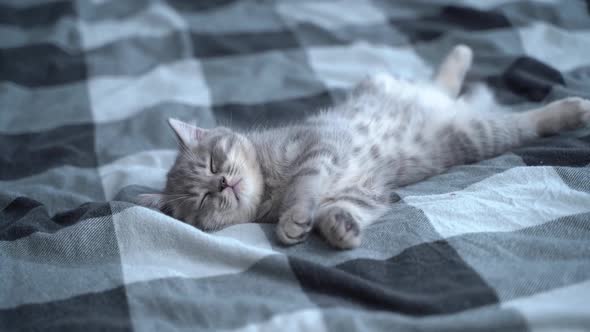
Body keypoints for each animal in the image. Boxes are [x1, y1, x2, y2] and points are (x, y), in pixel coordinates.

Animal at [142, 45, 590, 250]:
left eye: (214, 162)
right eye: (202, 200)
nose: (222, 184)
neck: (269, 185)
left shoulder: (320, 146)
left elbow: (305, 185)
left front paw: (295, 216)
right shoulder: (368, 190)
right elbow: (341, 207)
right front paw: (339, 227)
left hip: (473, 132)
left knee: (525, 118)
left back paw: (570, 106)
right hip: (469, 134)